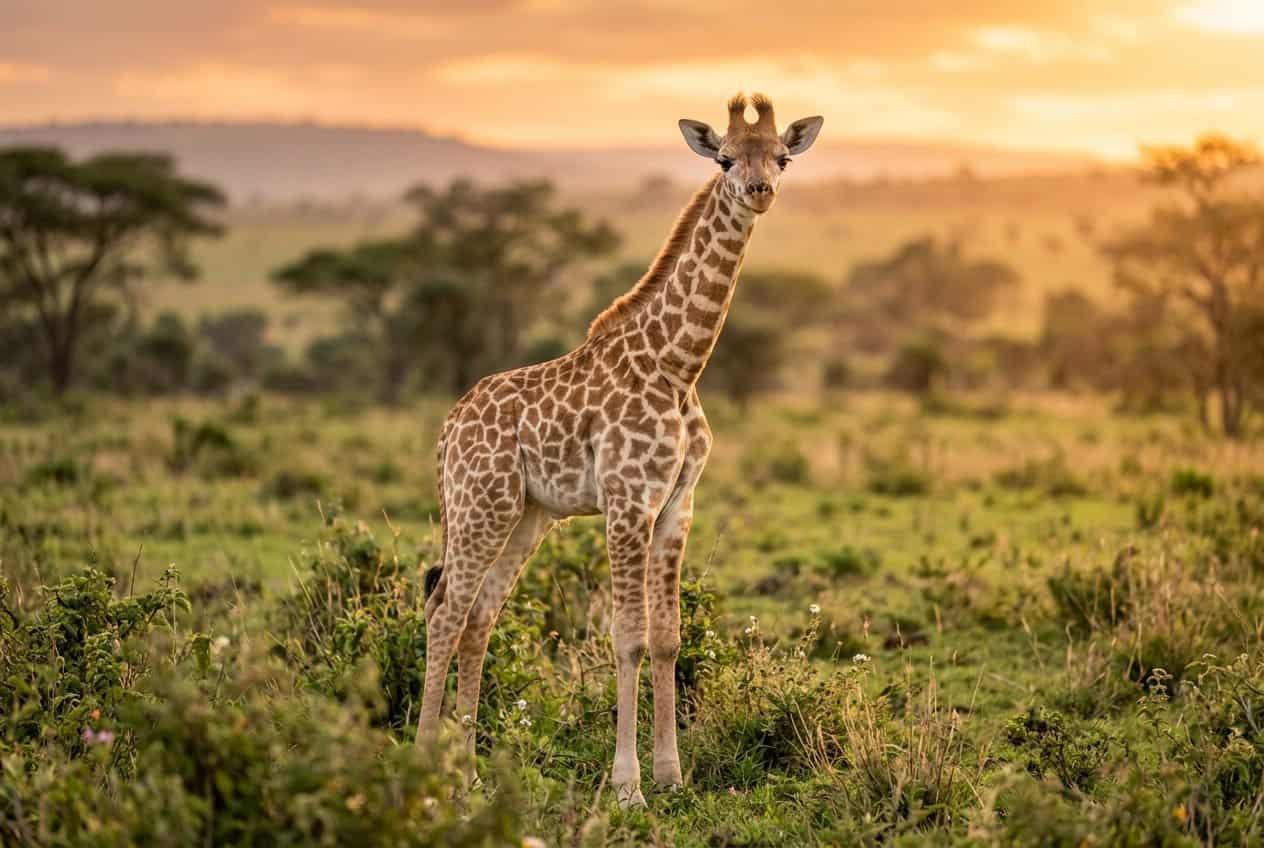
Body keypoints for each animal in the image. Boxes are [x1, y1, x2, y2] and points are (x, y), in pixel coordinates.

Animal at [417, 93, 823, 808]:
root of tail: (449, 428)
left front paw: (672, 775)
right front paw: (628, 786)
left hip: (526, 515)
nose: (759, 191)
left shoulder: (677, 505)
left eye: (780, 157)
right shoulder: (628, 500)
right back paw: (423, 772)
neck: (677, 365)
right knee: (444, 612)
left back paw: (467, 774)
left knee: (479, 618)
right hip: (478, 507)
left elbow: (667, 639)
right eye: (724, 158)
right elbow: (627, 638)